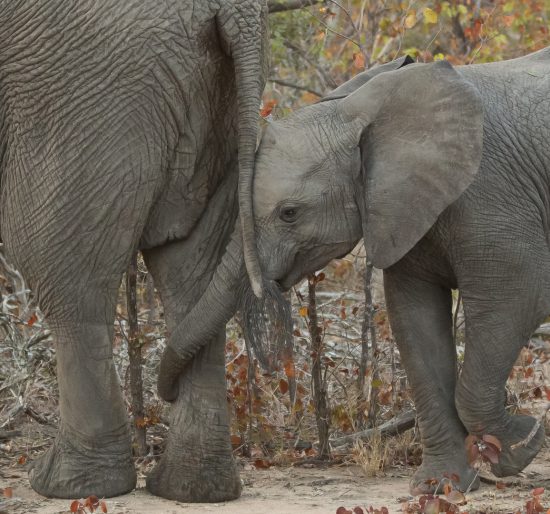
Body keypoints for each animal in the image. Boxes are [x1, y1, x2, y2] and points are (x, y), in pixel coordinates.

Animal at [0, 0, 274, 500]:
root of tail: (235, 9)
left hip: (82, 94)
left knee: (61, 276)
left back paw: (68, 486)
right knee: (189, 271)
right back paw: (193, 490)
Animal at [162, 48, 550, 492]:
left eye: (289, 213)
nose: (168, 395)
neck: (363, 110)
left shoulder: (491, 195)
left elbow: (518, 298)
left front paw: (524, 442)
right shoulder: (402, 206)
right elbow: (414, 320)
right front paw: (440, 487)